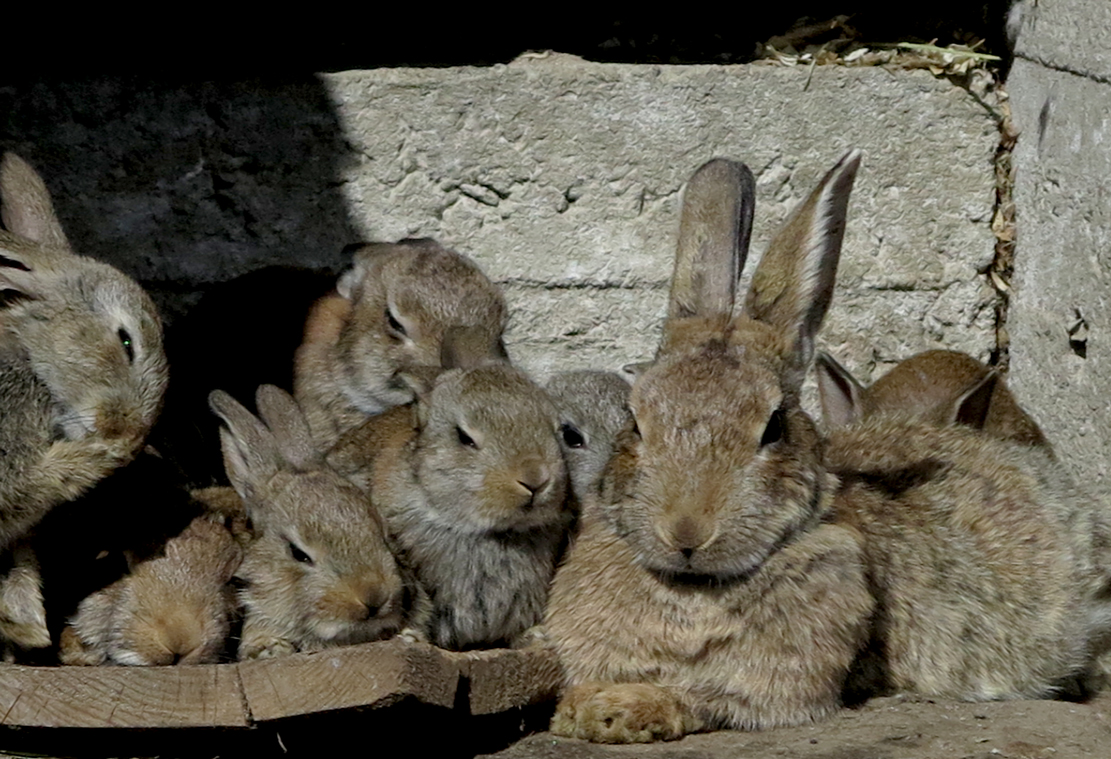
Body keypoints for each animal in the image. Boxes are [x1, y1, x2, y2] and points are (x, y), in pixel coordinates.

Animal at [545, 153, 874, 743]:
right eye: (636, 421)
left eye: (773, 427)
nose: (686, 532)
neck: (692, 588)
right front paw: (587, 712)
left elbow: (707, 702)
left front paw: (620, 711)